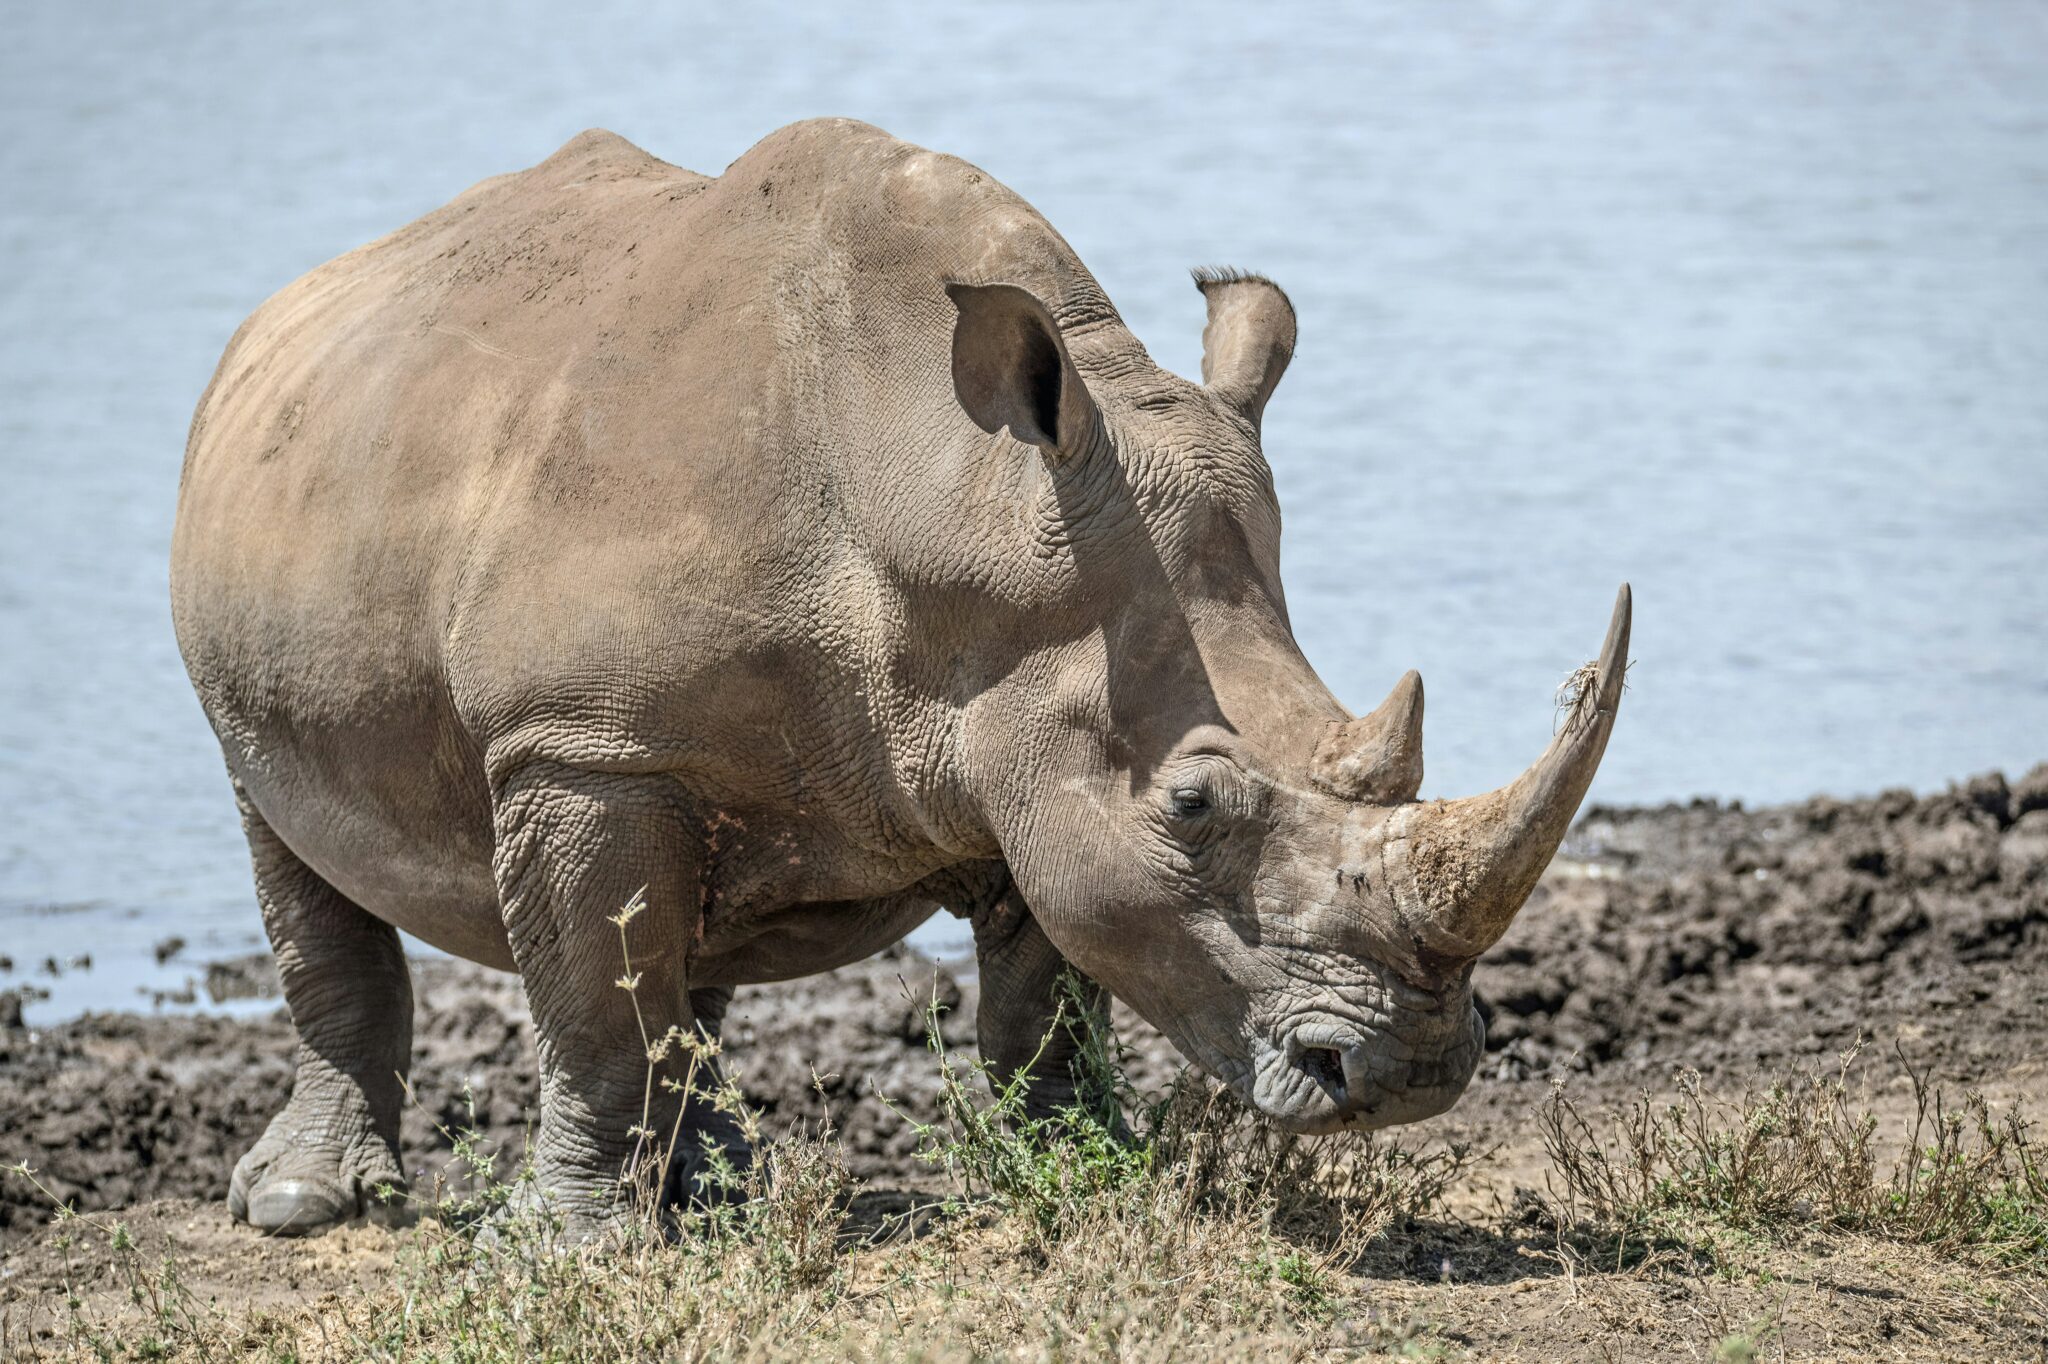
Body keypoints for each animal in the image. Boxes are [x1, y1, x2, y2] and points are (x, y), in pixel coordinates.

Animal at [170, 119, 1629, 1238]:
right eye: (1194, 806)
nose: (1412, 1071)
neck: (943, 494)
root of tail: (282, 308)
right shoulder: (578, 741)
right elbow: (593, 1003)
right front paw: (561, 1247)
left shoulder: (1028, 718)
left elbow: (1048, 991)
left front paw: (1079, 1166)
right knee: (287, 835)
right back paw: (307, 1207)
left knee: (693, 919)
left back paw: (720, 1191)